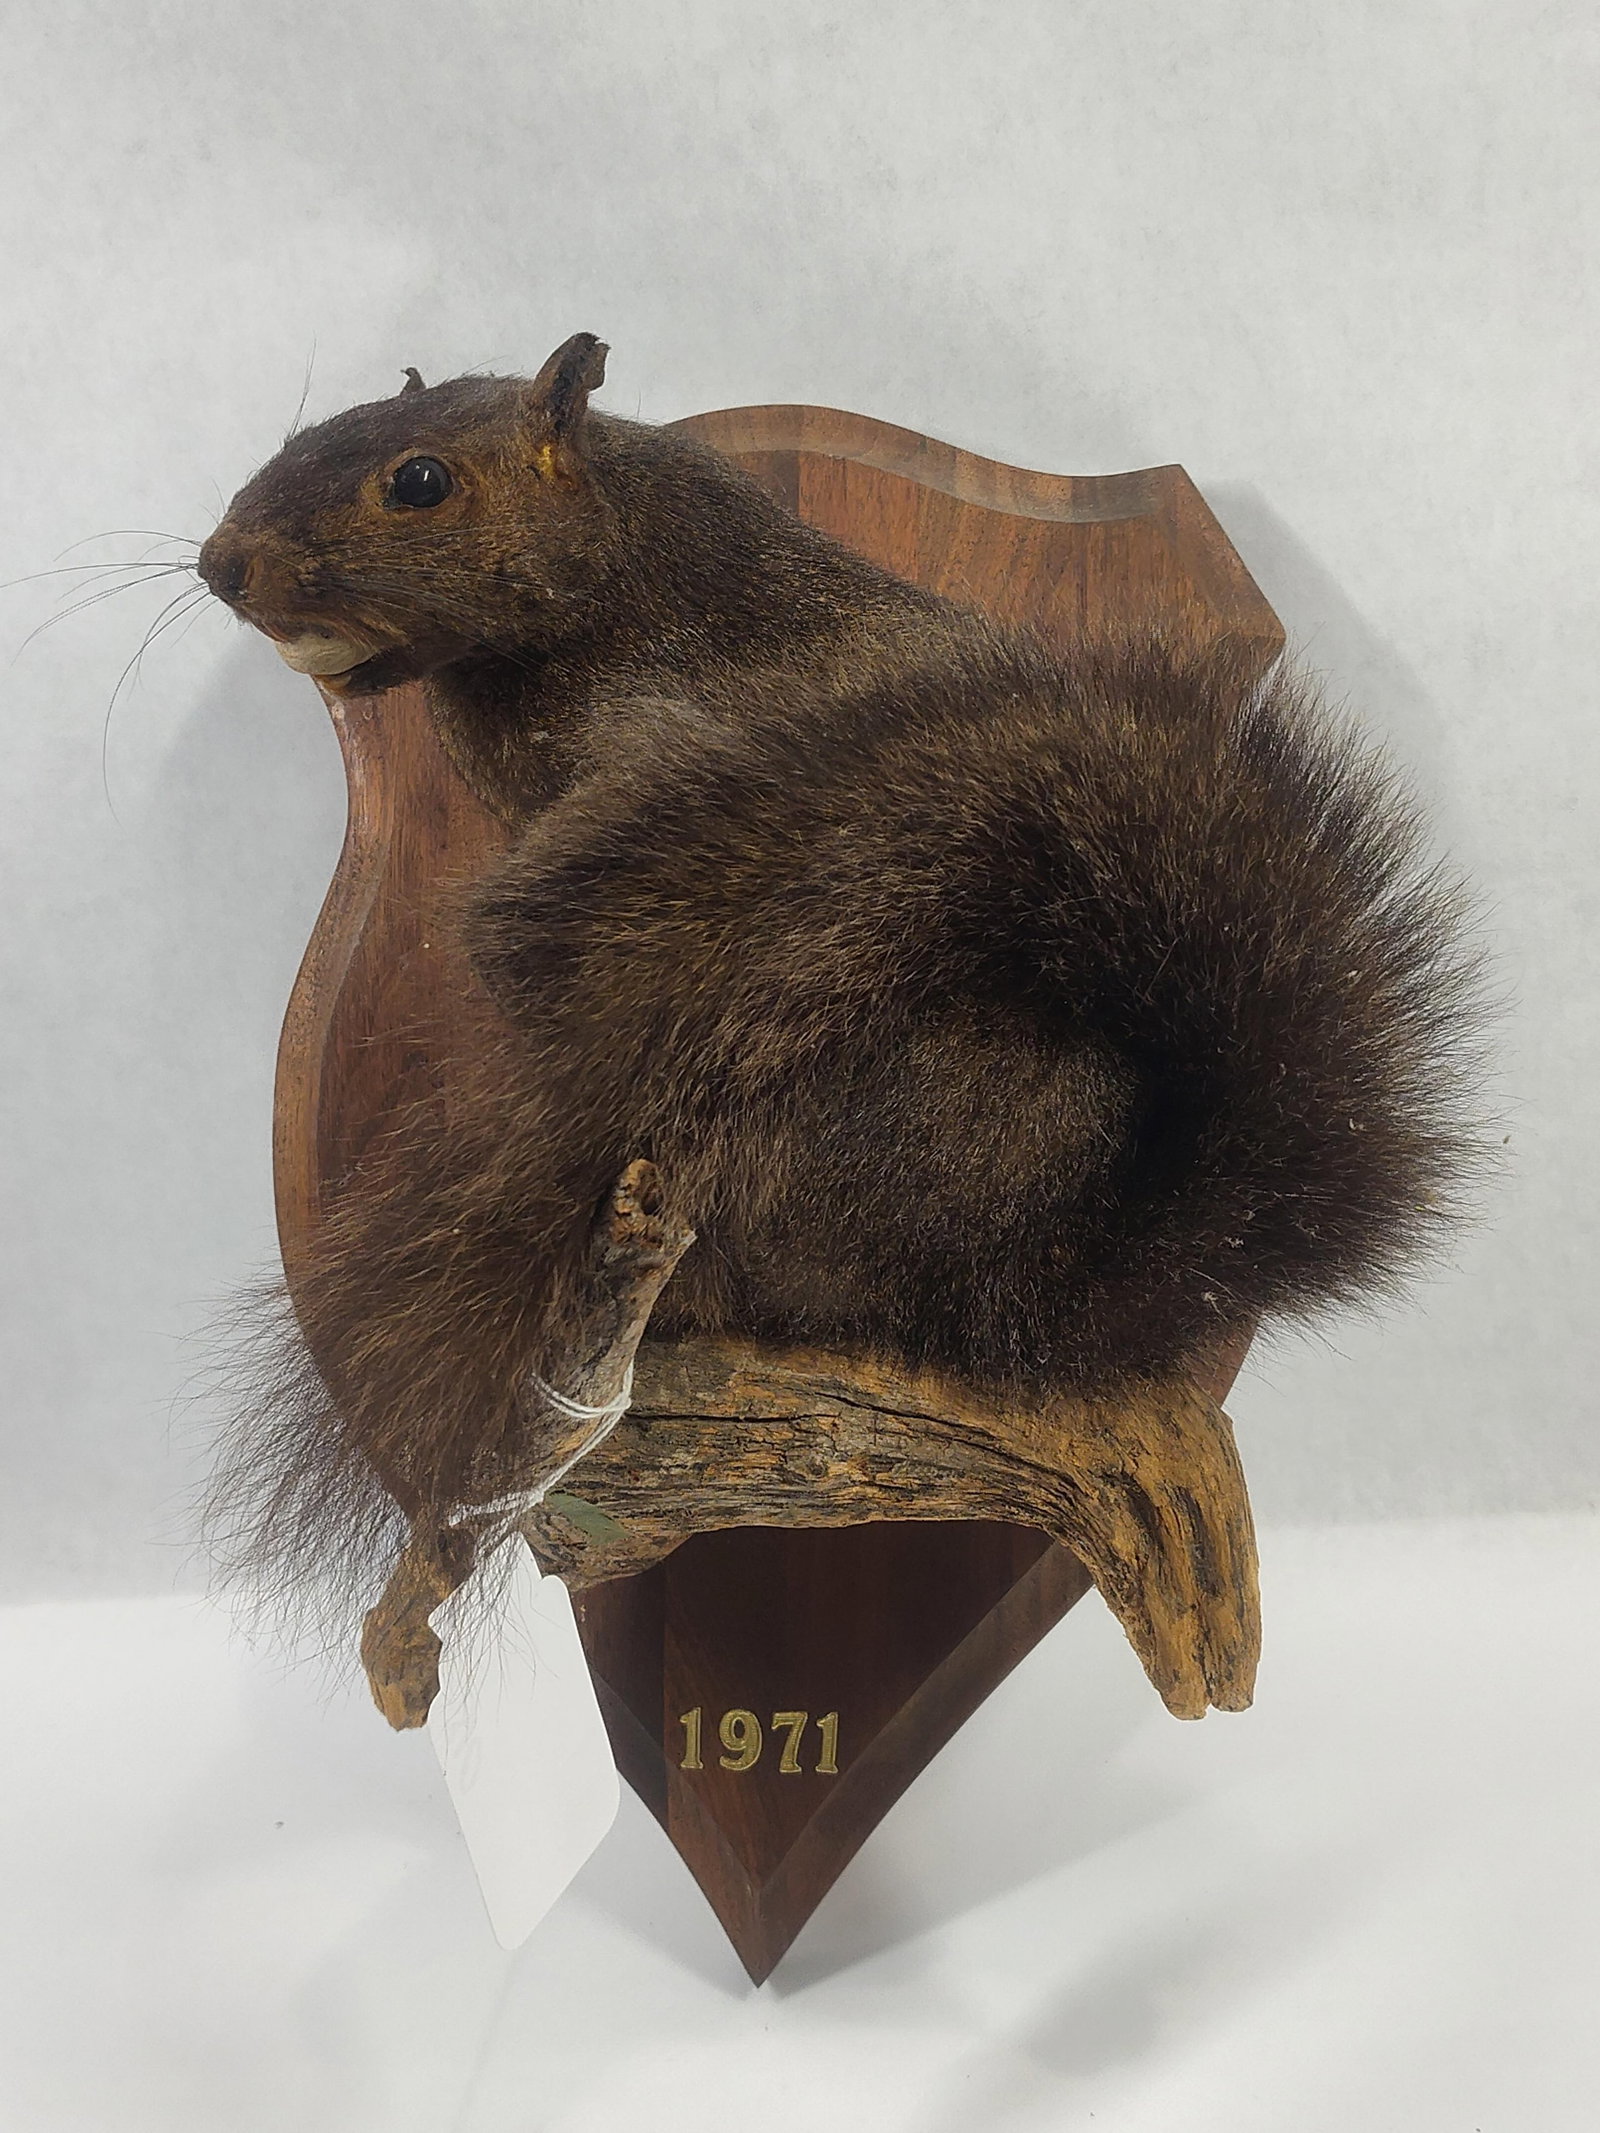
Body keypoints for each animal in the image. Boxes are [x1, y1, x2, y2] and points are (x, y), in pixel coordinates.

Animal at [198, 332, 1477, 1591]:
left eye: (419, 482)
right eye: (305, 433)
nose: (219, 564)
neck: (624, 584)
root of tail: (1051, 1277)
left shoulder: (666, 752)